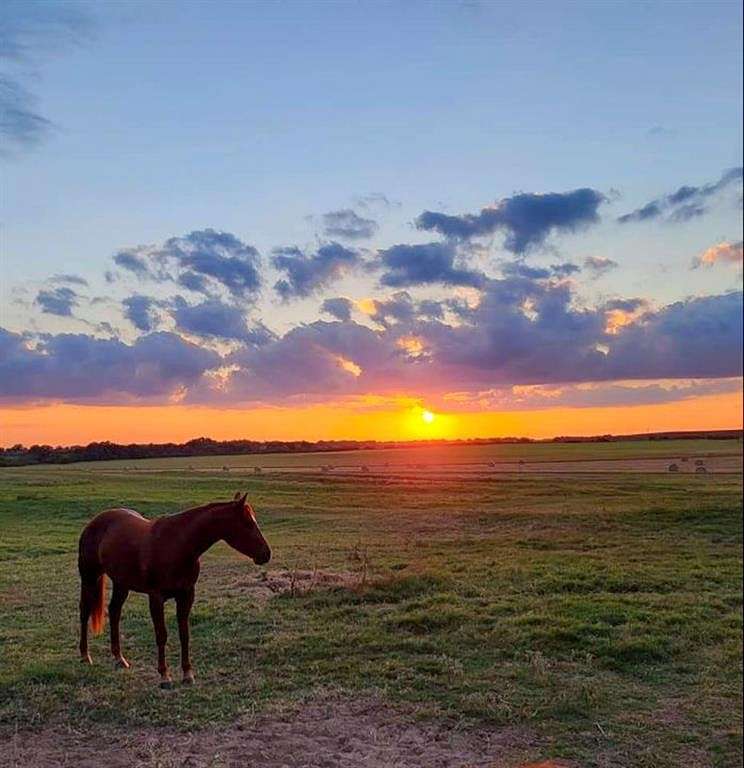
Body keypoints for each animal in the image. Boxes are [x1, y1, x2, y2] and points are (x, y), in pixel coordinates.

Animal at [77, 492, 270, 688]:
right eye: (248, 523)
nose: (266, 554)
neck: (177, 545)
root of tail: (95, 521)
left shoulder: (186, 595)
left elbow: (184, 634)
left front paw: (187, 674)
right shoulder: (156, 598)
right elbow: (161, 635)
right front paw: (165, 676)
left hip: (121, 583)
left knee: (114, 611)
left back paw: (119, 658)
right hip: (89, 577)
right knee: (85, 611)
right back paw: (85, 656)